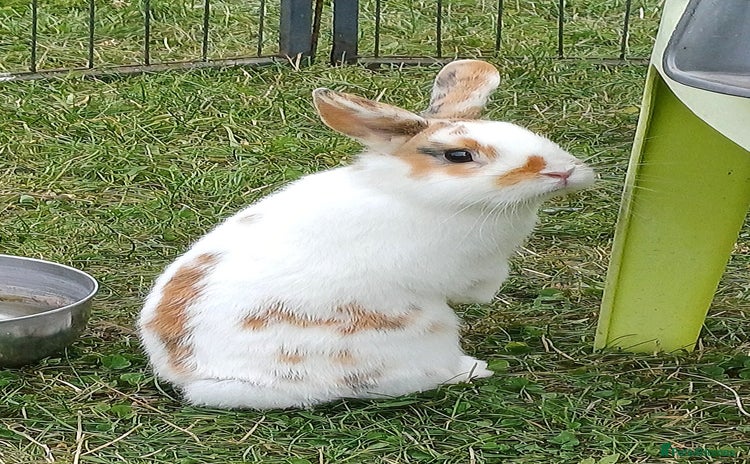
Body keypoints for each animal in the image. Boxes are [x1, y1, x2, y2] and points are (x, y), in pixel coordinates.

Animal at [138, 60, 596, 410]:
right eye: (458, 155)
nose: (562, 171)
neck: (414, 194)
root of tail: (194, 377)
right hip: (418, 332)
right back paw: (470, 370)